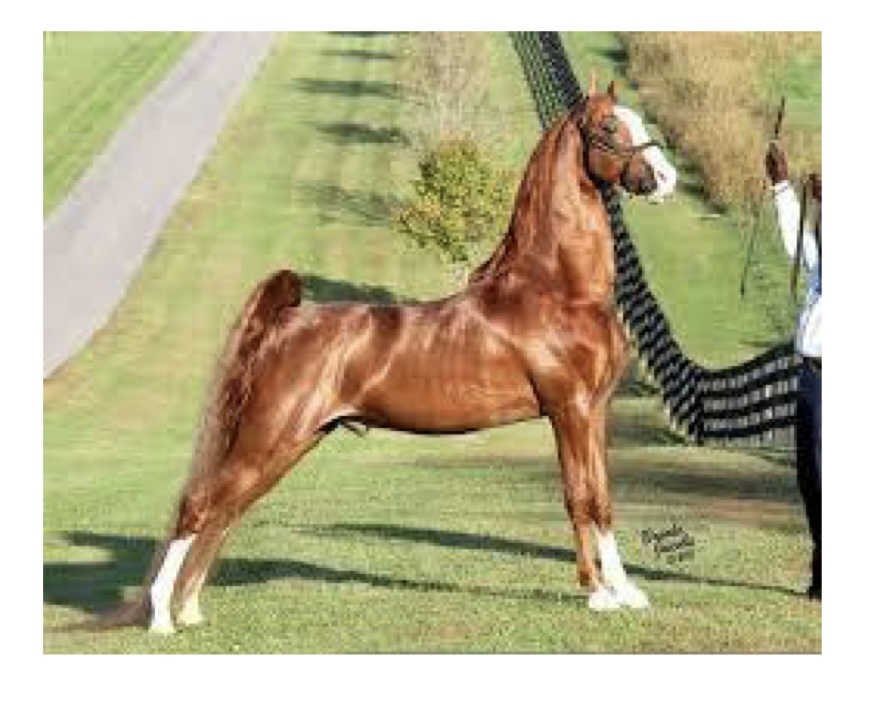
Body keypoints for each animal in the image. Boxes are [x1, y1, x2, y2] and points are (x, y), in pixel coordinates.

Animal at [110, 79, 677, 634]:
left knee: (226, 511)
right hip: (268, 438)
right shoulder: (568, 409)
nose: (665, 178)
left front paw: (625, 592)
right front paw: (598, 594)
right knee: (200, 505)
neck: (558, 290)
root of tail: (283, 323)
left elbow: (602, 499)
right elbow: (581, 497)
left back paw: (189, 609)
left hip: (289, 443)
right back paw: (161, 618)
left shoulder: (593, 411)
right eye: (609, 126)